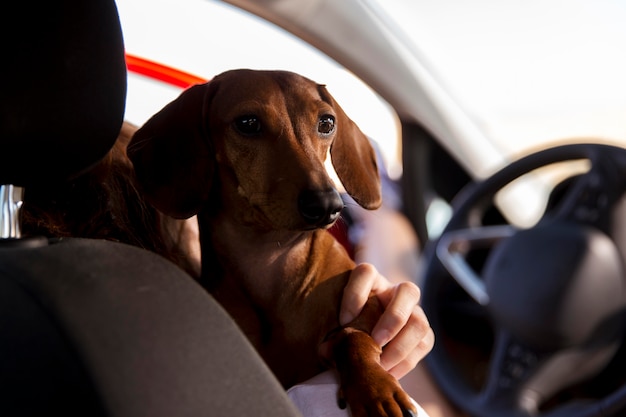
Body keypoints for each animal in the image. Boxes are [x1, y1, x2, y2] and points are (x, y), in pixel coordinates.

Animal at [128, 70, 414, 414]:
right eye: (248, 123)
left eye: (326, 122)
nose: (327, 204)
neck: (271, 258)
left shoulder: (365, 304)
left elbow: (352, 337)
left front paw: (375, 388)